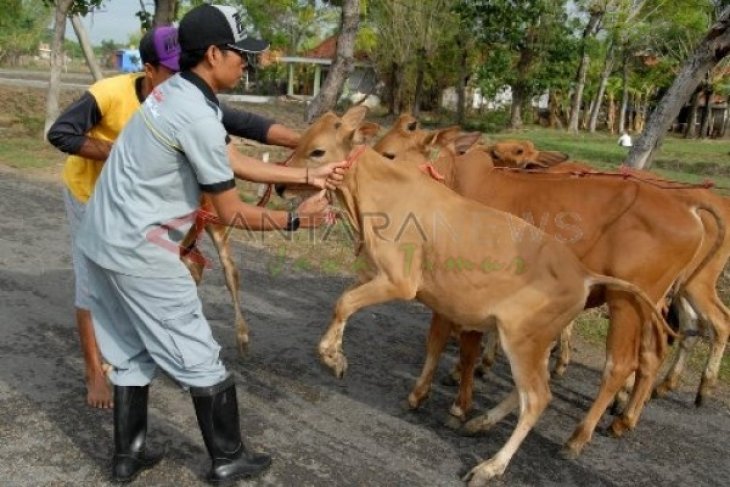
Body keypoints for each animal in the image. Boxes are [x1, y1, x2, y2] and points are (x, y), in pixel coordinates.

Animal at [278, 107, 672, 487]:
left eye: (318, 151)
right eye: (302, 141)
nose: (281, 186)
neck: (383, 193)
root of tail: (584, 275)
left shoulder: (400, 283)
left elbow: (344, 303)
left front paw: (333, 357)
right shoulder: (374, 275)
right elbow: (348, 305)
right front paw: (338, 356)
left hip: (522, 339)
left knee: (539, 398)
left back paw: (491, 466)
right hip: (531, 341)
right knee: (532, 390)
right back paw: (481, 422)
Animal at [370, 117, 716, 458]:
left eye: (388, 154)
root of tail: (689, 211)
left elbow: (462, 347)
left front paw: (454, 405)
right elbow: (440, 339)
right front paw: (430, 394)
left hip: (625, 302)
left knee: (619, 365)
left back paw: (578, 437)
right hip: (647, 305)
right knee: (651, 354)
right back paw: (623, 419)